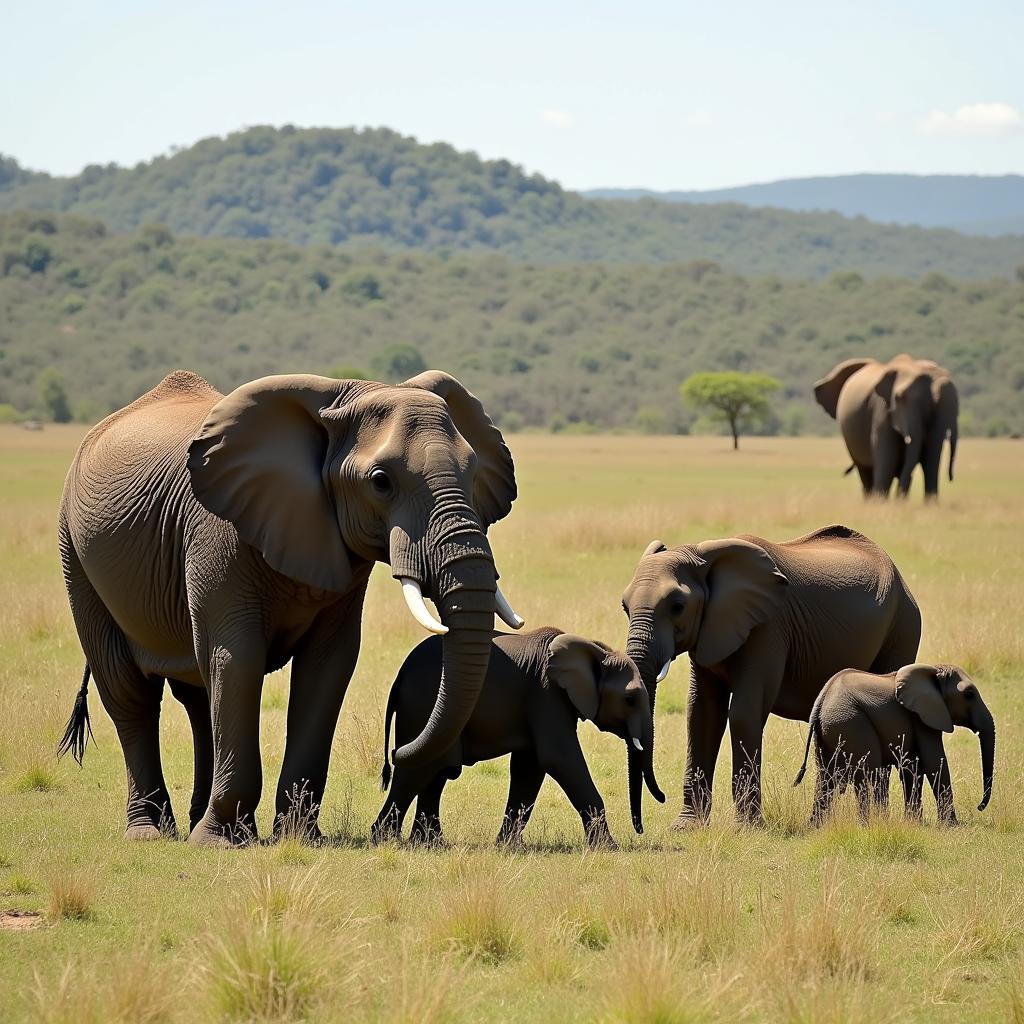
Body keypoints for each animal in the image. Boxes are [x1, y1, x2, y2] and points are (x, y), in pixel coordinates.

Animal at [56, 370, 520, 847]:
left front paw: (299, 837)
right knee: (130, 694)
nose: (395, 755)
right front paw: (222, 843)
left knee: (198, 695)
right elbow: (237, 657)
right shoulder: (218, 533)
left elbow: (328, 664)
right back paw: (151, 833)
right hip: (75, 551)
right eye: (380, 481)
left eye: (473, 472)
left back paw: (193, 821)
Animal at [372, 622, 667, 847]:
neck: (596, 650)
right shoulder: (546, 693)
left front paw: (507, 846)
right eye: (630, 699)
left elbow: (530, 767)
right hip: (421, 704)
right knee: (418, 771)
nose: (640, 830)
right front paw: (608, 847)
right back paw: (385, 840)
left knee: (436, 772)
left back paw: (429, 843)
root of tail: (400, 675)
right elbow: (558, 758)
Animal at [618, 524, 925, 827]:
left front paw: (747, 828)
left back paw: (878, 821)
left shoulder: (768, 627)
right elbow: (702, 713)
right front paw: (687, 827)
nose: (659, 798)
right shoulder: (711, 630)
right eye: (624, 607)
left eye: (678, 606)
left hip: (903, 625)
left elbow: (743, 712)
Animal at [794, 663, 995, 823]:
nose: (979, 807)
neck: (934, 668)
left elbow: (912, 767)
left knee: (825, 777)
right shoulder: (922, 718)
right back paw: (869, 824)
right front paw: (951, 825)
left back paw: (816, 826)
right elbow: (934, 762)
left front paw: (914, 823)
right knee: (868, 773)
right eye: (969, 695)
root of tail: (820, 703)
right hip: (850, 722)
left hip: (829, 730)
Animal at [811, 352, 954, 499]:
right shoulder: (882, 409)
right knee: (866, 471)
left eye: (931, 407)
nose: (950, 477)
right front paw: (881, 502)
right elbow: (887, 461)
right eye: (898, 398)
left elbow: (928, 459)